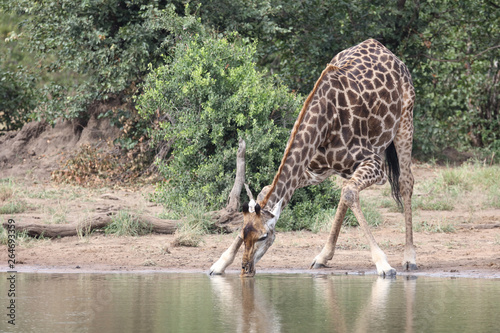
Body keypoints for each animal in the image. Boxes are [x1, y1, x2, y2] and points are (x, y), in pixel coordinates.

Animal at [209, 39, 416, 276]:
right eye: (243, 234)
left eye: (263, 237)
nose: (245, 269)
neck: (324, 123)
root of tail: (382, 47)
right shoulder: (312, 170)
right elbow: (268, 190)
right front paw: (220, 263)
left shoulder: (375, 164)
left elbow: (351, 193)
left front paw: (384, 265)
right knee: (346, 192)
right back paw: (323, 256)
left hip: (405, 120)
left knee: (405, 182)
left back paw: (409, 258)